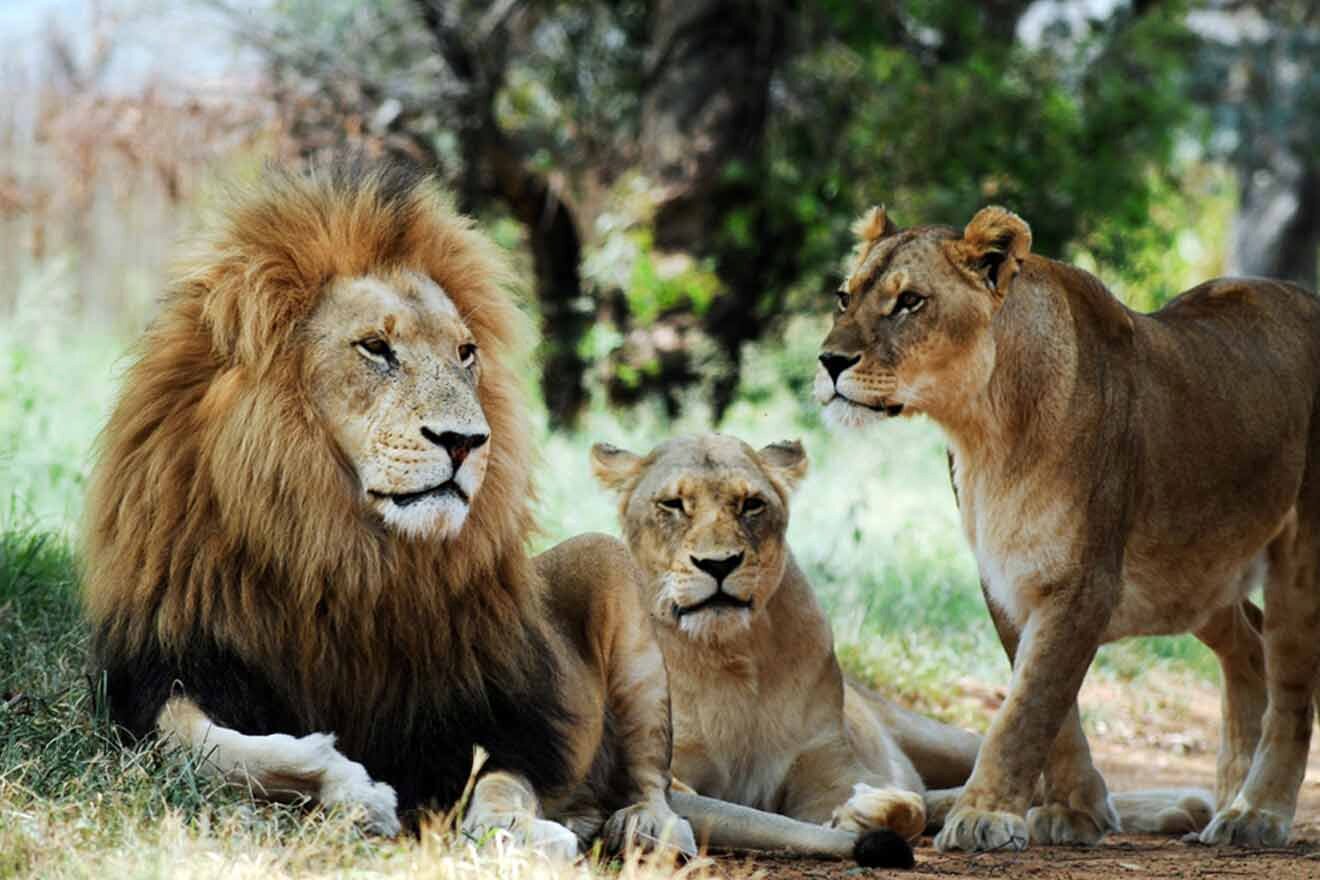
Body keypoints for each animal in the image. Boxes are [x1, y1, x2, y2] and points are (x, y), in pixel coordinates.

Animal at [83, 160, 702, 860]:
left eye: (465, 353)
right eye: (377, 348)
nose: (466, 441)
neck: (343, 550)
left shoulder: (496, 707)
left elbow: (500, 780)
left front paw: (517, 831)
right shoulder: (170, 670)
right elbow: (203, 744)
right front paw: (350, 787)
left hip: (613, 577)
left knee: (653, 775)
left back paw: (644, 826)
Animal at [813, 203, 1320, 849]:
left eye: (910, 302)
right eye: (843, 296)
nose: (829, 362)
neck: (985, 432)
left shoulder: (1084, 581)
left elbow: (1027, 708)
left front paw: (983, 815)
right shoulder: (1005, 579)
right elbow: (1052, 713)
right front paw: (1075, 812)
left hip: (1297, 557)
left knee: (1291, 690)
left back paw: (1255, 814)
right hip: (1197, 576)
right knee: (1250, 646)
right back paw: (1230, 797)